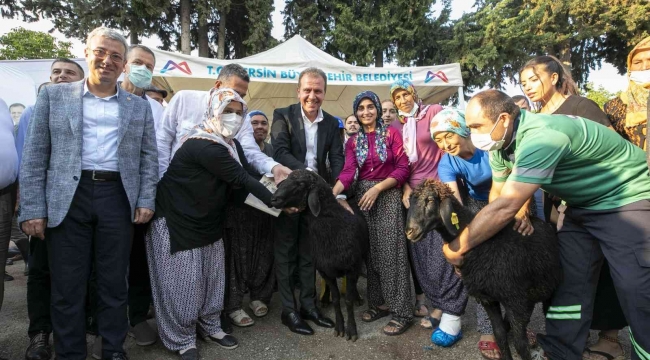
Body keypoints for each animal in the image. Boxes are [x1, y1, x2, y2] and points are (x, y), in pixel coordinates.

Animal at [270, 170, 370, 342]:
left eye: (300, 184)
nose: (273, 199)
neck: (331, 225)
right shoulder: (325, 270)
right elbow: (336, 300)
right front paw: (339, 327)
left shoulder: (351, 268)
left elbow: (348, 300)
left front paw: (351, 330)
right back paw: (324, 300)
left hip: (360, 258)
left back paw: (357, 297)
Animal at [408, 180, 560, 360]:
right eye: (409, 201)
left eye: (430, 200)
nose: (410, 231)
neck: (479, 244)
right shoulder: (488, 299)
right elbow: (500, 335)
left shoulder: (516, 300)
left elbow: (520, 344)